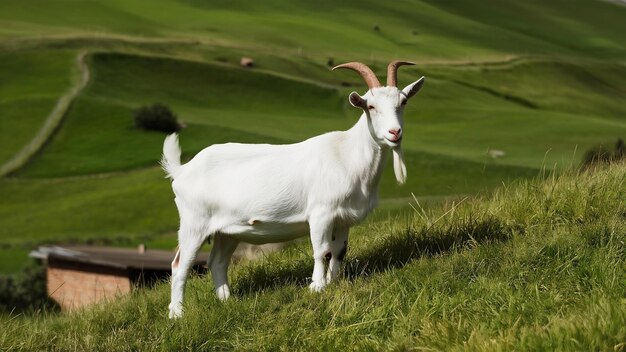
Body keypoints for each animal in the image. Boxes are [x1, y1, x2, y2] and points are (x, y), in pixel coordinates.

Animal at [161, 61, 424, 320]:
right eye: (370, 106)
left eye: (403, 102)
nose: (394, 133)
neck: (348, 155)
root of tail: (181, 170)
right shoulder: (321, 213)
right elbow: (322, 251)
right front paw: (317, 287)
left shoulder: (343, 218)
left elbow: (339, 251)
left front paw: (334, 282)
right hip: (194, 222)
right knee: (180, 265)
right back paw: (177, 313)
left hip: (227, 230)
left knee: (217, 262)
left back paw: (226, 301)